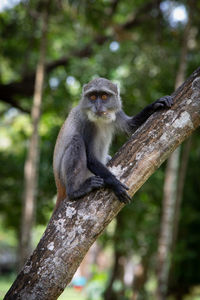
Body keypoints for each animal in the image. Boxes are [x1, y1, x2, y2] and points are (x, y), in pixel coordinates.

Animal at [53, 77, 173, 209]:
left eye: (104, 96)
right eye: (92, 97)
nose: (98, 106)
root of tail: (59, 188)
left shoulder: (117, 112)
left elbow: (130, 126)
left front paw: (155, 105)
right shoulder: (86, 123)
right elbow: (90, 158)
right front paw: (115, 184)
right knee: (76, 140)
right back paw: (75, 191)